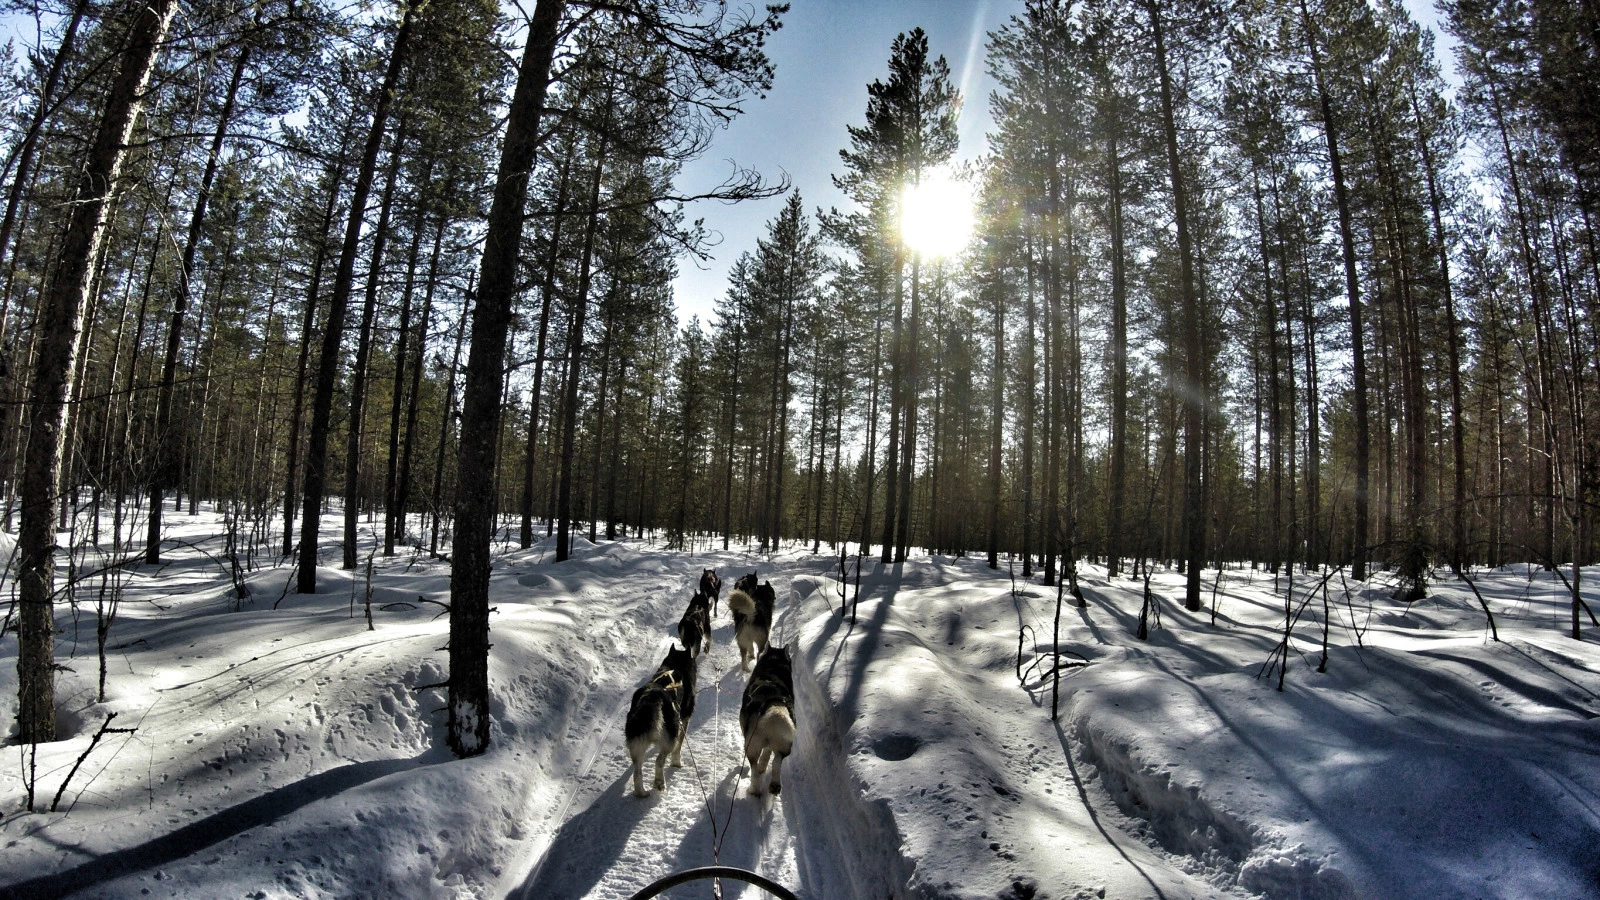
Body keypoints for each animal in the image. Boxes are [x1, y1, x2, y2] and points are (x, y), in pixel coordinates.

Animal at [624, 640, 700, 794]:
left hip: (636, 741)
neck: (676, 664)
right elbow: (678, 749)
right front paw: (676, 764)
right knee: (659, 761)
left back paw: (641, 793)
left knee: (637, 771)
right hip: (671, 737)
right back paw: (659, 782)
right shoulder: (684, 722)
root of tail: (652, 695)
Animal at [739, 640, 796, 794]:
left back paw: (753, 789)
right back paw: (774, 784)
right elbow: (767, 753)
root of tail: (776, 709)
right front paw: (763, 765)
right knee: (777, 761)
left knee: (754, 767)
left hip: (751, 745)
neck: (773, 665)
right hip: (785, 745)